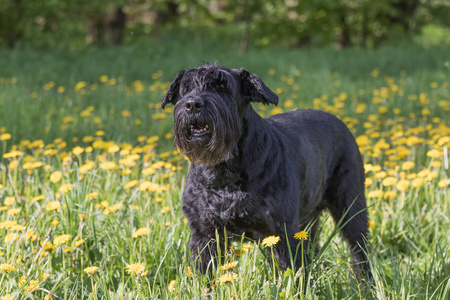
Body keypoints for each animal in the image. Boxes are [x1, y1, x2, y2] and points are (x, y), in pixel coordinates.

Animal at [160, 63, 370, 278]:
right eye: (186, 88)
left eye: (222, 86)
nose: (193, 104)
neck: (223, 171)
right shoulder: (205, 234)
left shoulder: (281, 233)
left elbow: (289, 271)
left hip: (350, 205)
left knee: (358, 246)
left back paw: (363, 281)